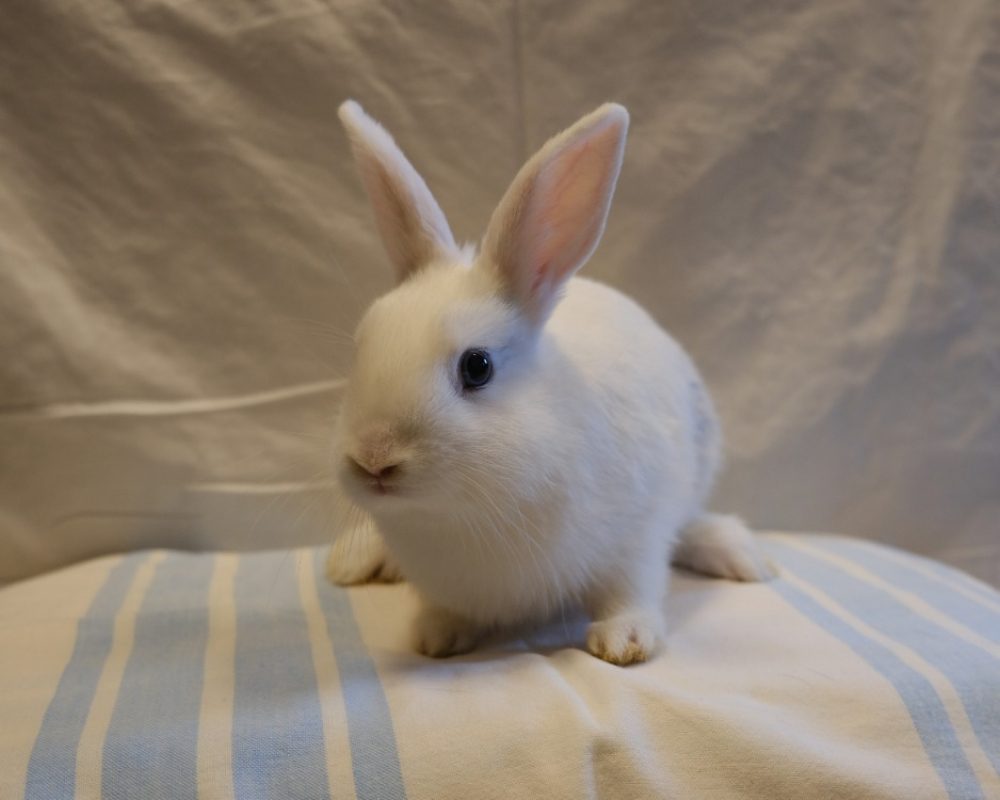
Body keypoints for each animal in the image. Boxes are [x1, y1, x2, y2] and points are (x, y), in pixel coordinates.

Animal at [326, 100, 775, 666]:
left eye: (477, 367)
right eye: (360, 346)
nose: (374, 460)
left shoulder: (636, 537)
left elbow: (632, 588)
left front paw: (625, 641)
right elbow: (445, 610)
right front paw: (436, 635)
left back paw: (742, 554)